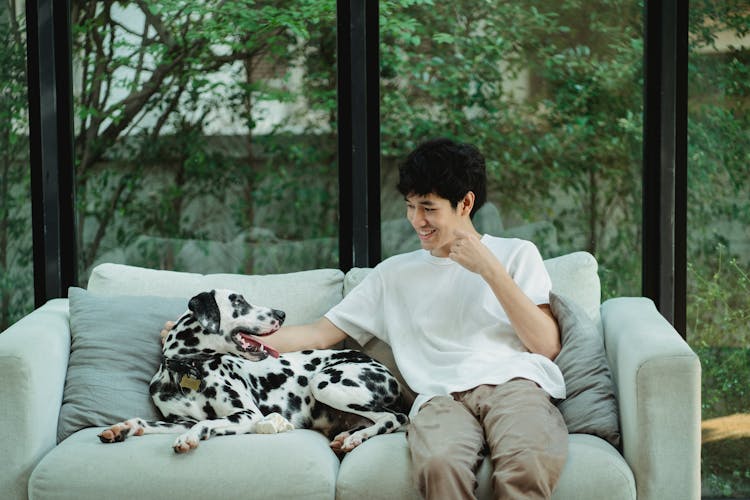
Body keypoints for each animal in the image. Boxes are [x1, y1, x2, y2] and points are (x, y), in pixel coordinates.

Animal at [98, 288, 412, 456]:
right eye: (238, 301)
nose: (282, 314)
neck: (187, 370)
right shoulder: (179, 420)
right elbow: (148, 422)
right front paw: (123, 428)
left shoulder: (248, 415)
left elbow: (206, 423)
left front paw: (189, 439)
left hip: (326, 383)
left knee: (395, 418)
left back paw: (358, 437)